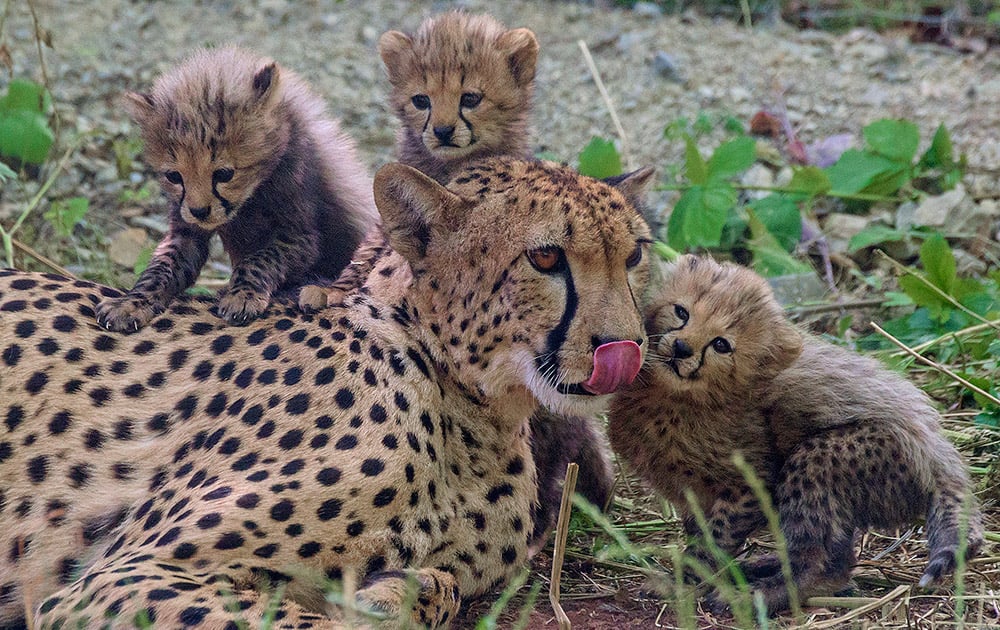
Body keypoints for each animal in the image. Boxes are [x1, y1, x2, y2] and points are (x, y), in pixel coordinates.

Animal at [0, 157, 652, 628]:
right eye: (545, 257)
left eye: (634, 256)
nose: (626, 345)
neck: (471, 409)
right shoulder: (116, 578)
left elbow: (436, 585)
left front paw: (393, 595)